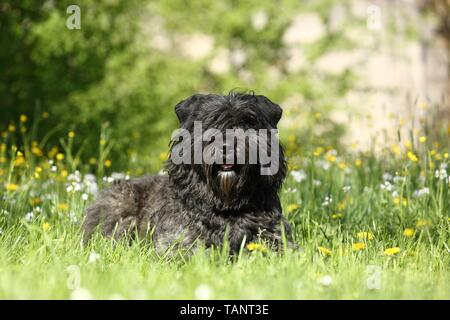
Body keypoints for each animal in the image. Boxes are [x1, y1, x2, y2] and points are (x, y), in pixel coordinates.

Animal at [82, 92, 294, 252]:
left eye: (247, 124)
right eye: (210, 124)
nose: (226, 147)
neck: (226, 205)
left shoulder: (276, 238)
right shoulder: (178, 242)